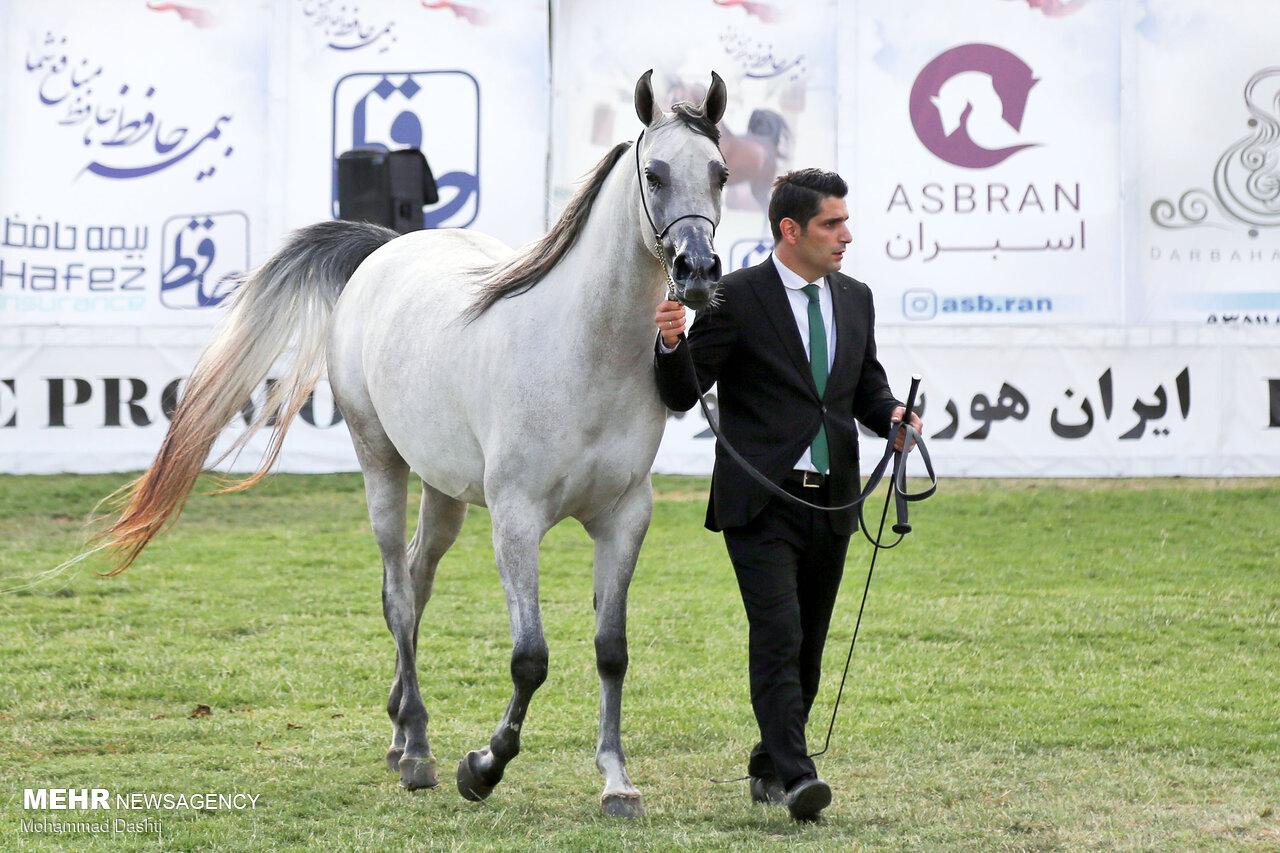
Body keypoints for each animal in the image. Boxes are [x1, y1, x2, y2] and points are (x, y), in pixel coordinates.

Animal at [94, 69, 727, 814]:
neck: (582, 351)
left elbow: (611, 650)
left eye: (719, 172)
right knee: (397, 592)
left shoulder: (624, 519)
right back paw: (419, 751)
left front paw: (616, 781)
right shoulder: (516, 521)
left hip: (443, 486)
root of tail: (381, 251)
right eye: (655, 174)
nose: (697, 270)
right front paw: (482, 766)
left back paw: (402, 728)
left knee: (418, 581)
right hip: (382, 464)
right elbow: (530, 658)